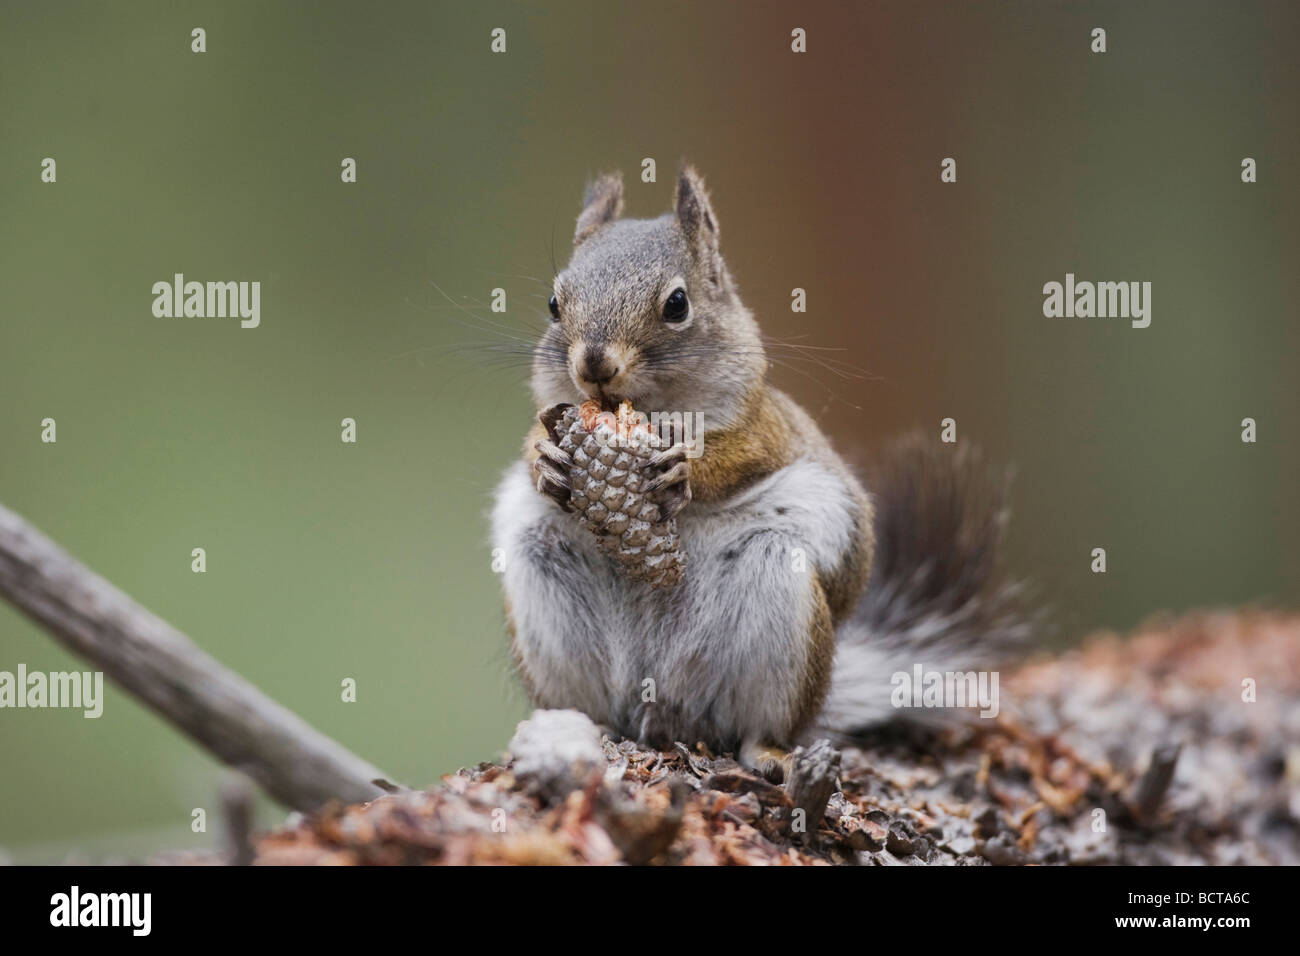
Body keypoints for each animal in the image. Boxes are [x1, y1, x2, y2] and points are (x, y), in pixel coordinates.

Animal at [488, 162, 1024, 780]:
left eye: (677, 304)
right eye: (555, 303)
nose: (594, 363)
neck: (651, 411)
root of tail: (664, 711)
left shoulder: (766, 428)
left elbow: (738, 455)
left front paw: (683, 471)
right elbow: (537, 436)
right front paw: (545, 460)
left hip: (778, 604)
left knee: (760, 724)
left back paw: (766, 752)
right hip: (545, 583)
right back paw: (586, 728)